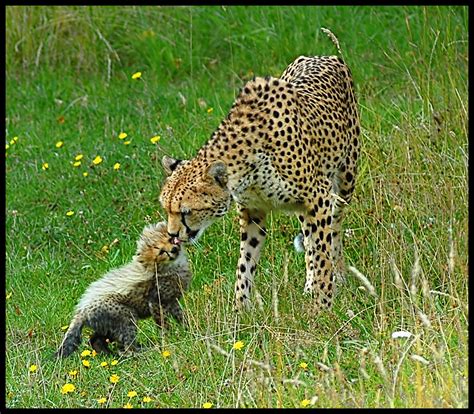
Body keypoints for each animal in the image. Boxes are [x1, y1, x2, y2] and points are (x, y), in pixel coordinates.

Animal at [159, 52, 360, 310]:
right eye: (167, 210)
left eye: (186, 211)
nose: (172, 235)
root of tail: (323, 55)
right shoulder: (253, 212)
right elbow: (245, 262)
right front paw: (239, 309)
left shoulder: (319, 197)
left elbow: (323, 254)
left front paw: (323, 305)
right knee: (309, 239)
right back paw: (309, 284)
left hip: (345, 181)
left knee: (334, 229)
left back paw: (339, 275)